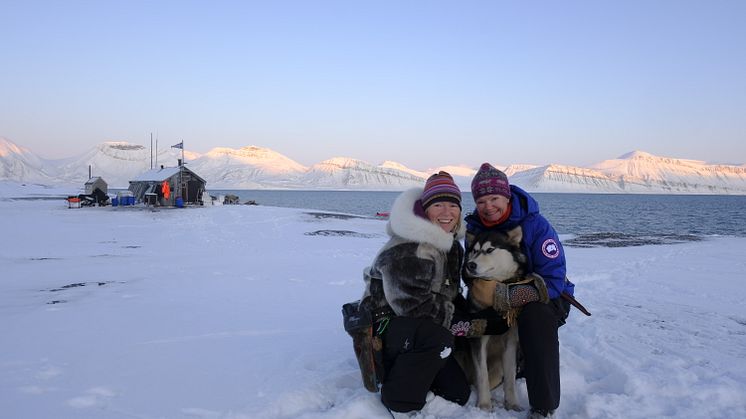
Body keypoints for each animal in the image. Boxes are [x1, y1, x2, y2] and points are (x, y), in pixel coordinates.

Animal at [460, 228, 524, 412]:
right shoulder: (478, 339)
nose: (470, 265)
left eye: (489, 250)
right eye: (474, 251)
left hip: (497, 368)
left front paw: (512, 403)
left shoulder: (511, 342)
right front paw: (484, 405)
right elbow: (482, 375)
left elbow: (510, 377)